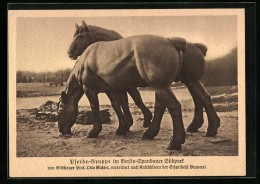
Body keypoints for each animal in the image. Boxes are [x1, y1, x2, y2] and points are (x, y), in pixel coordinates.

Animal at [58, 21, 219, 150]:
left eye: (60, 111)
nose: (61, 129)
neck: (85, 61)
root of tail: (171, 41)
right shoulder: (111, 89)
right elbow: (117, 105)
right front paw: (122, 127)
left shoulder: (91, 89)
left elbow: (97, 107)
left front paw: (95, 131)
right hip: (187, 82)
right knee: (202, 98)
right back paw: (209, 128)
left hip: (161, 85)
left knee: (174, 106)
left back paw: (175, 141)